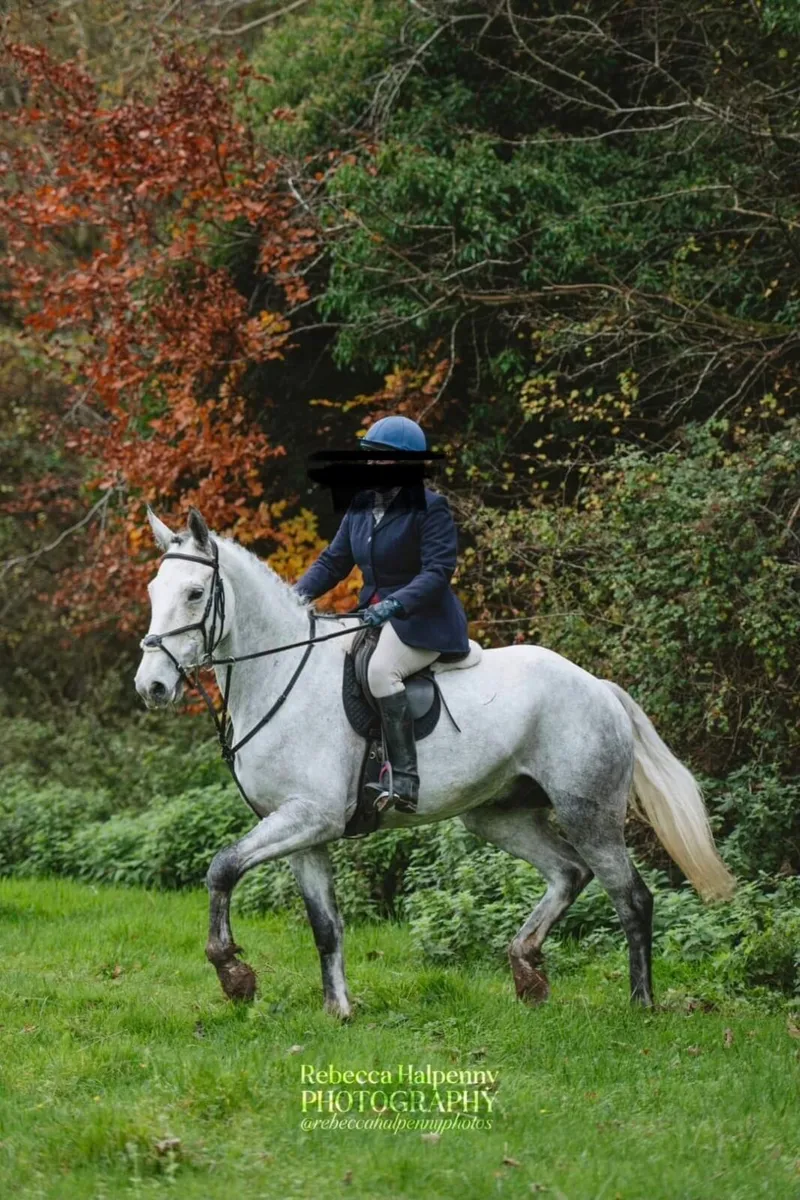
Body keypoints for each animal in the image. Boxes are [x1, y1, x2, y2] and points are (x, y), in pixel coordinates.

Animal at [134, 507, 735, 1017]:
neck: (281, 675)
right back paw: (527, 970)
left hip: (590, 813)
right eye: (153, 590)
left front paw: (233, 973)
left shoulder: (311, 817)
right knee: (569, 872)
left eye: (194, 593)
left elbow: (222, 867)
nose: (152, 687)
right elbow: (325, 925)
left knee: (631, 897)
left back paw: (641, 1004)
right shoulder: (301, 829)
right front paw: (338, 1009)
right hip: (498, 815)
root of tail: (597, 686)